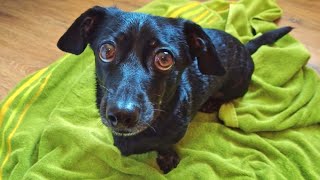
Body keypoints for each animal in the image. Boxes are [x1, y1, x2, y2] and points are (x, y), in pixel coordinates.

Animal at [57, 6, 292, 174]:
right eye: (106, 50)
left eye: (164, 58)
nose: (122, 115)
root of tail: (244, 47)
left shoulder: (176, 132)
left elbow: (166, 144)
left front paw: (167, 157)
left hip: (236, 86)